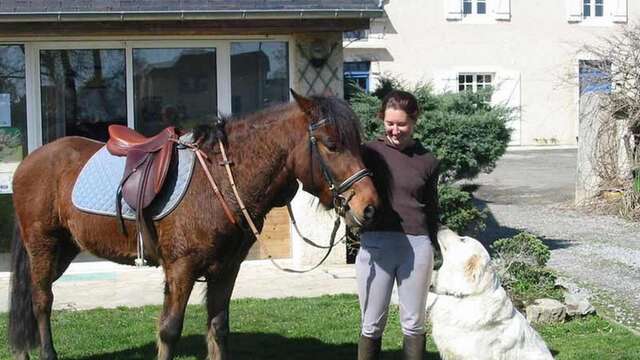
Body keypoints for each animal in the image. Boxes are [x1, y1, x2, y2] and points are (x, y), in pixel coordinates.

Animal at [8, 92, 380, 360]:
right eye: (332, 144)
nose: (369, 205)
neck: (219, 180)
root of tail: (30, 160)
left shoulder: (226, 271)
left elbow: (218, 328)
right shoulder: (181, 269)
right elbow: (169, 330)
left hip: (65, 248)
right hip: (43, 246)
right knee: (41, 300)